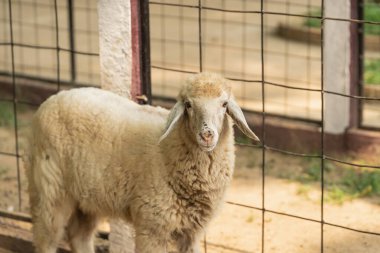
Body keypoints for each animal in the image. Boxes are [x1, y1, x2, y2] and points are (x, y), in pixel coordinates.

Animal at [23, 71, 260, 253]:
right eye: (188, 105)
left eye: (224, 104)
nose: (207, 134)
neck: (169, 150)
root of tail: (53, 98)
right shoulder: (152, 226)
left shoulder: (192, 231)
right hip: (49, 189)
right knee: (46, 238)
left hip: (88, 196)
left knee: (79, 234)